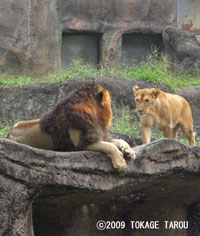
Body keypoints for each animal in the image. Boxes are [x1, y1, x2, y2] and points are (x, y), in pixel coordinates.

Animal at [7, 84, 136, 171]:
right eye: (109, 103)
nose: (112, 110)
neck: (95, 118)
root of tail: (9, 133)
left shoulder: (98, 134)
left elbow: (120, 140)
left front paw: (129, 152)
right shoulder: (81, 144)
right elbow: (110, 146)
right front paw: (120, 162)